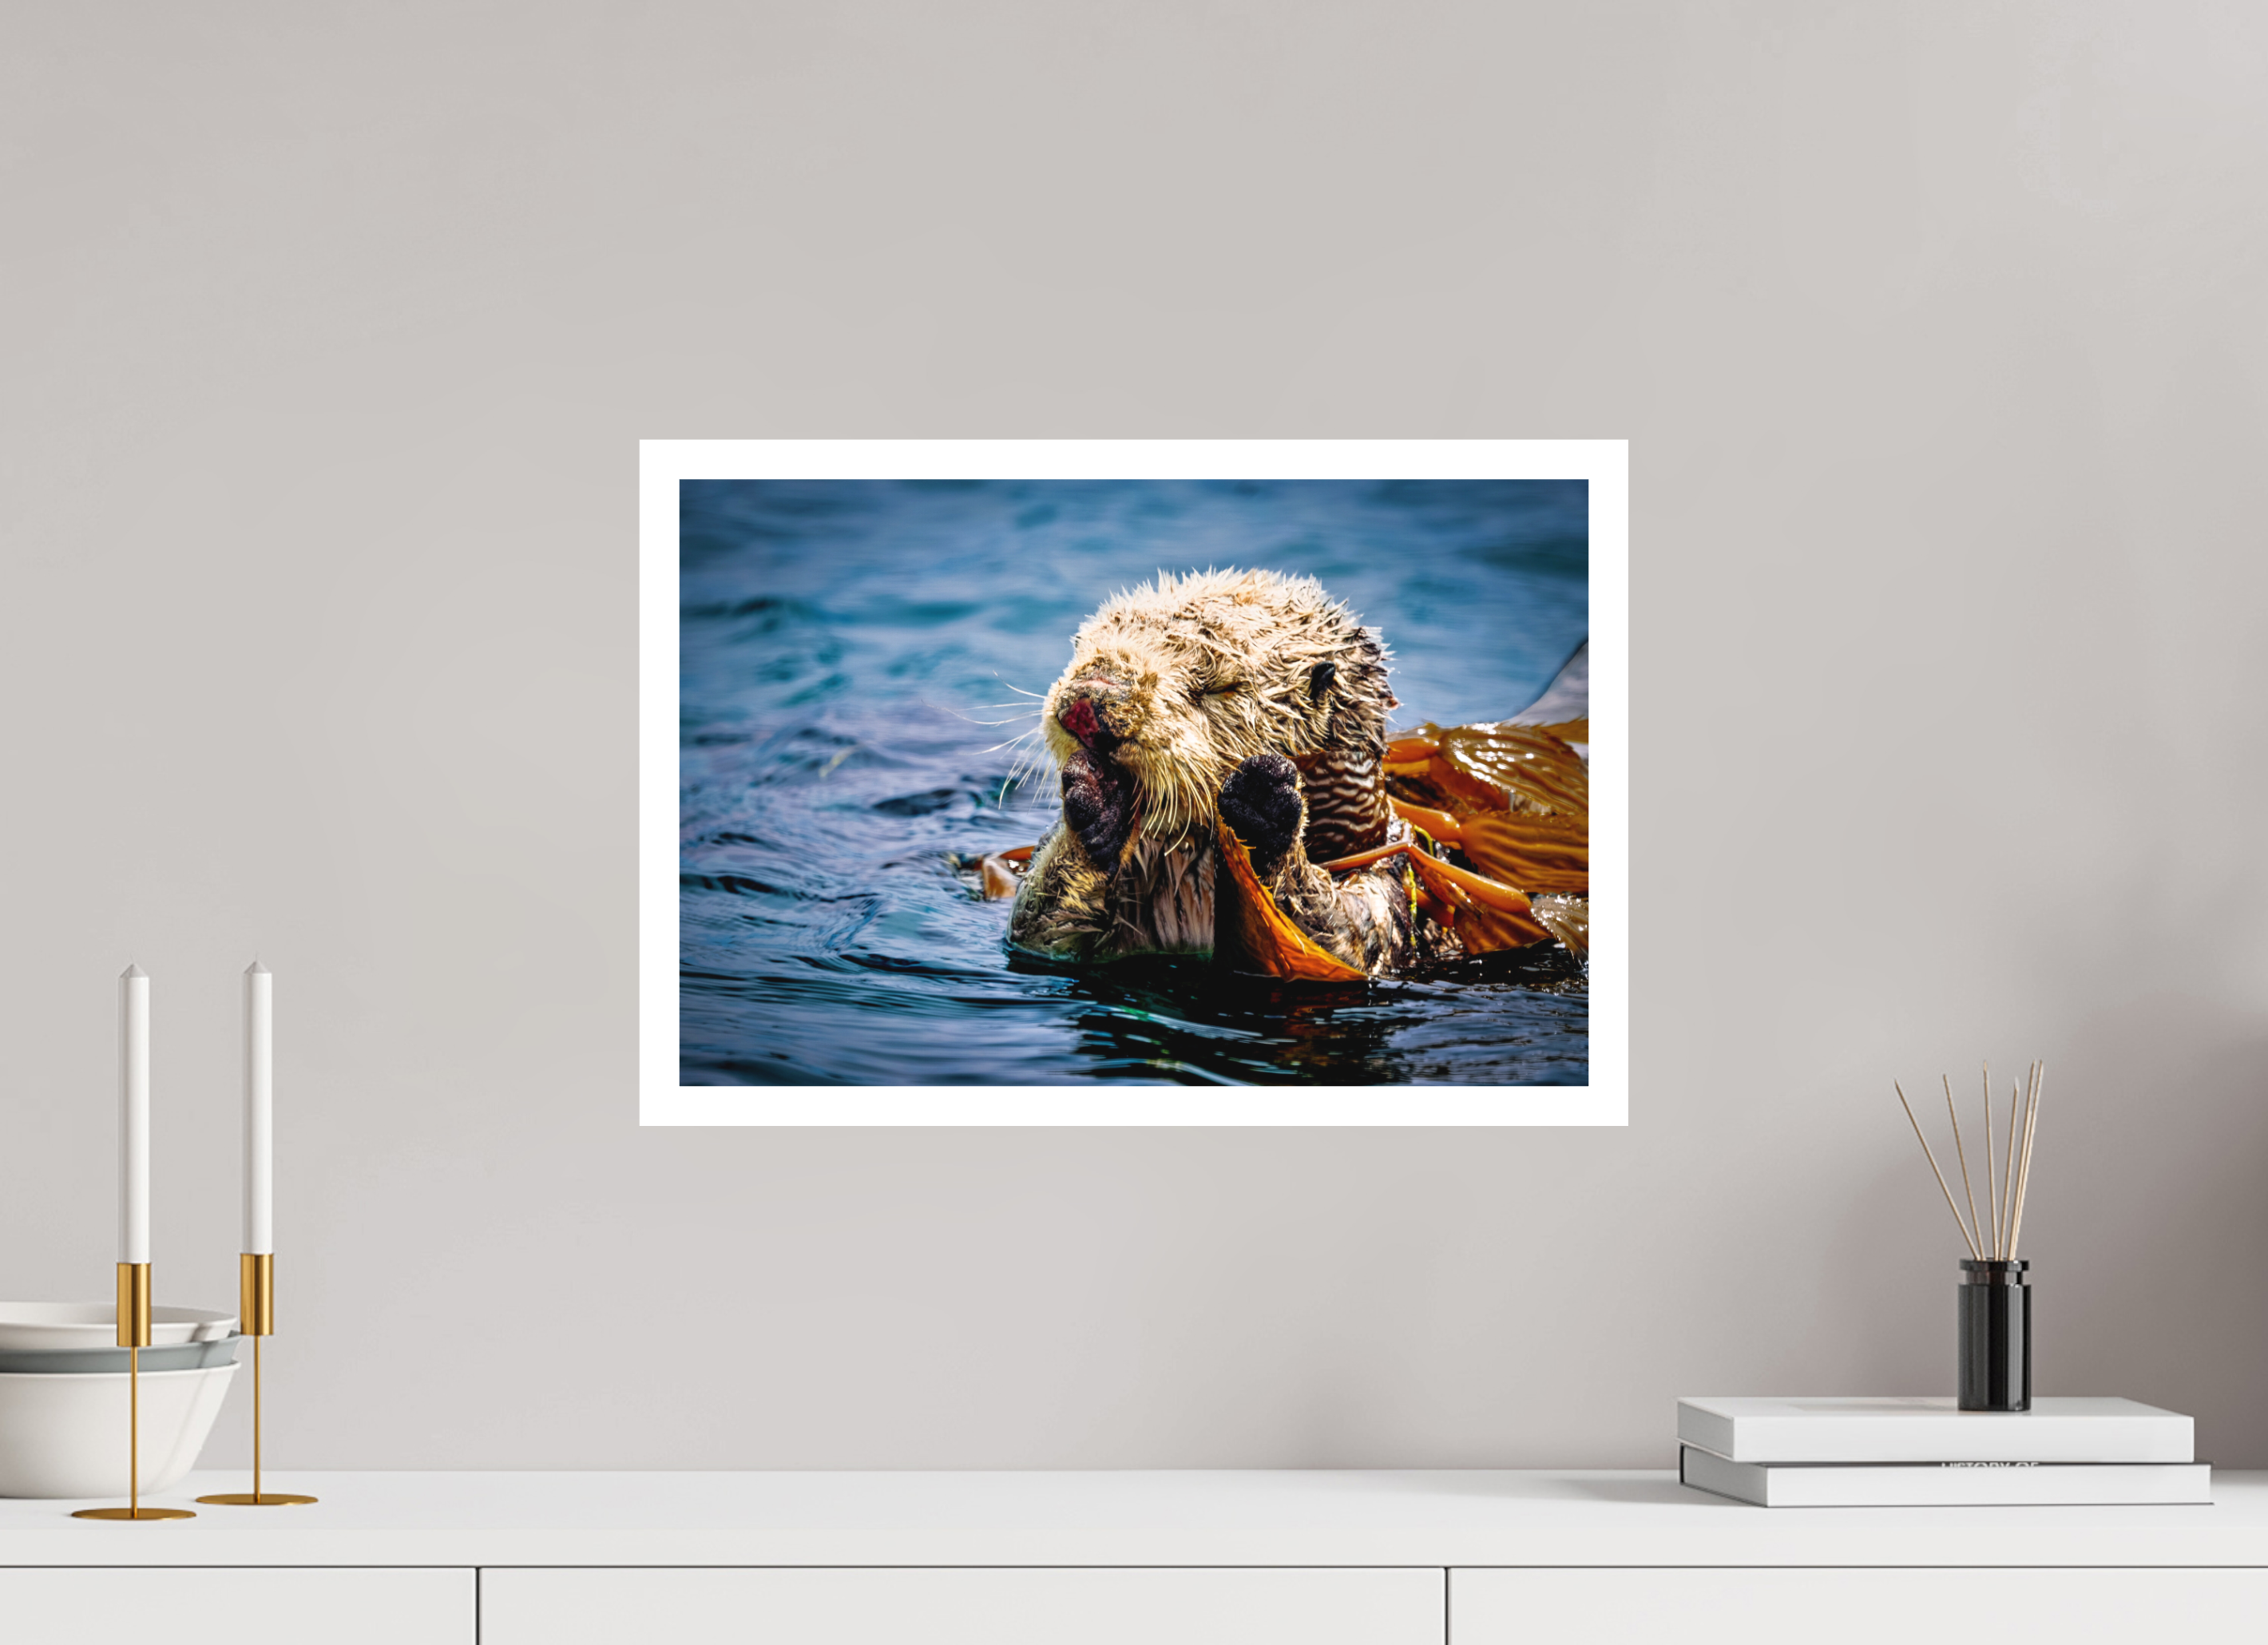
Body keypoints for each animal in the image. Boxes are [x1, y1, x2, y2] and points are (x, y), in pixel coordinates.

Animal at [1006, 568, 1419, 974]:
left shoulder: (1383, 873)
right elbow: (1036, 929)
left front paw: (1265, 798)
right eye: (1081, 648)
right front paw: (1096, 796)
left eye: (1219, 686)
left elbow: (1350, 938)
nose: (1090, 700)